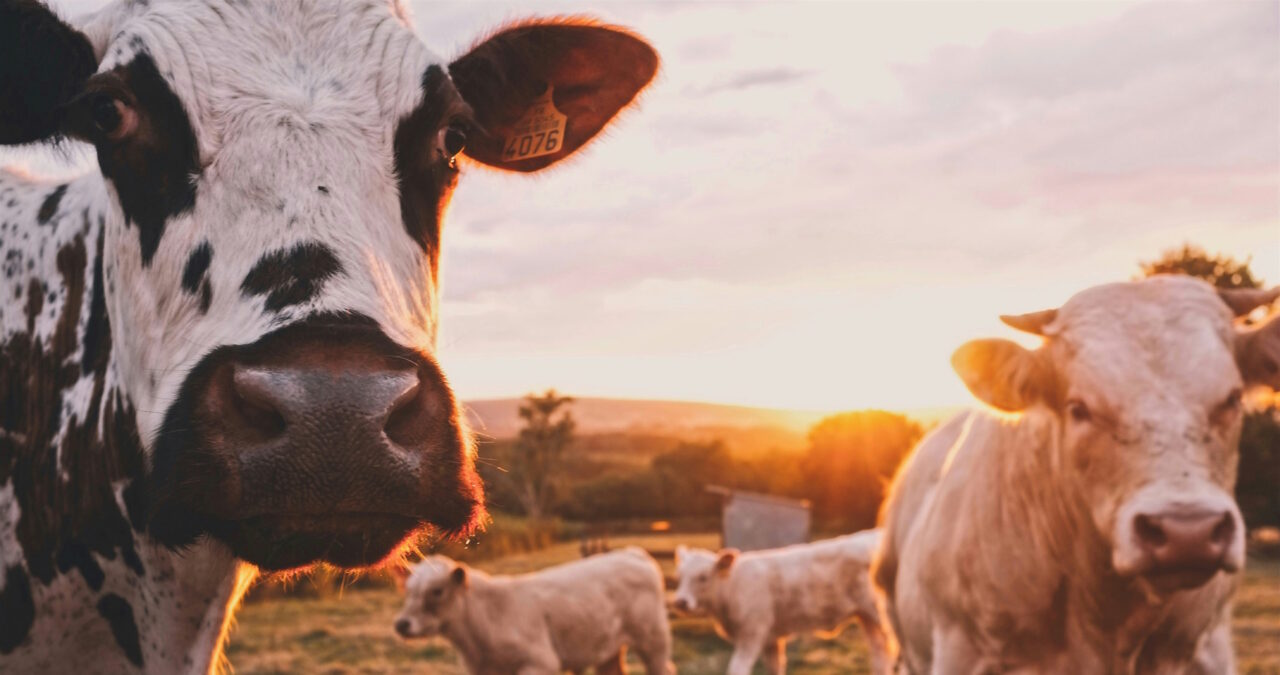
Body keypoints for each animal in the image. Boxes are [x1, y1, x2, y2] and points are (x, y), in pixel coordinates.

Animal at [391, 548, 675, 675]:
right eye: (408, 589)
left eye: (437, 591)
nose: (402, 624)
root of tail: (631, 553)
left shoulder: (540, 663)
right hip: (608, 647)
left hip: (654, 640)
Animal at [670, 532, 890, 675]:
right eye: (679, 576)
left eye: (703, 577)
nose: (680, 602)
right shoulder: (771, 638)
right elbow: (775, 668)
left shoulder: (752, 633)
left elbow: (737, 668)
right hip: (866, 616)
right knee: (880, 652)